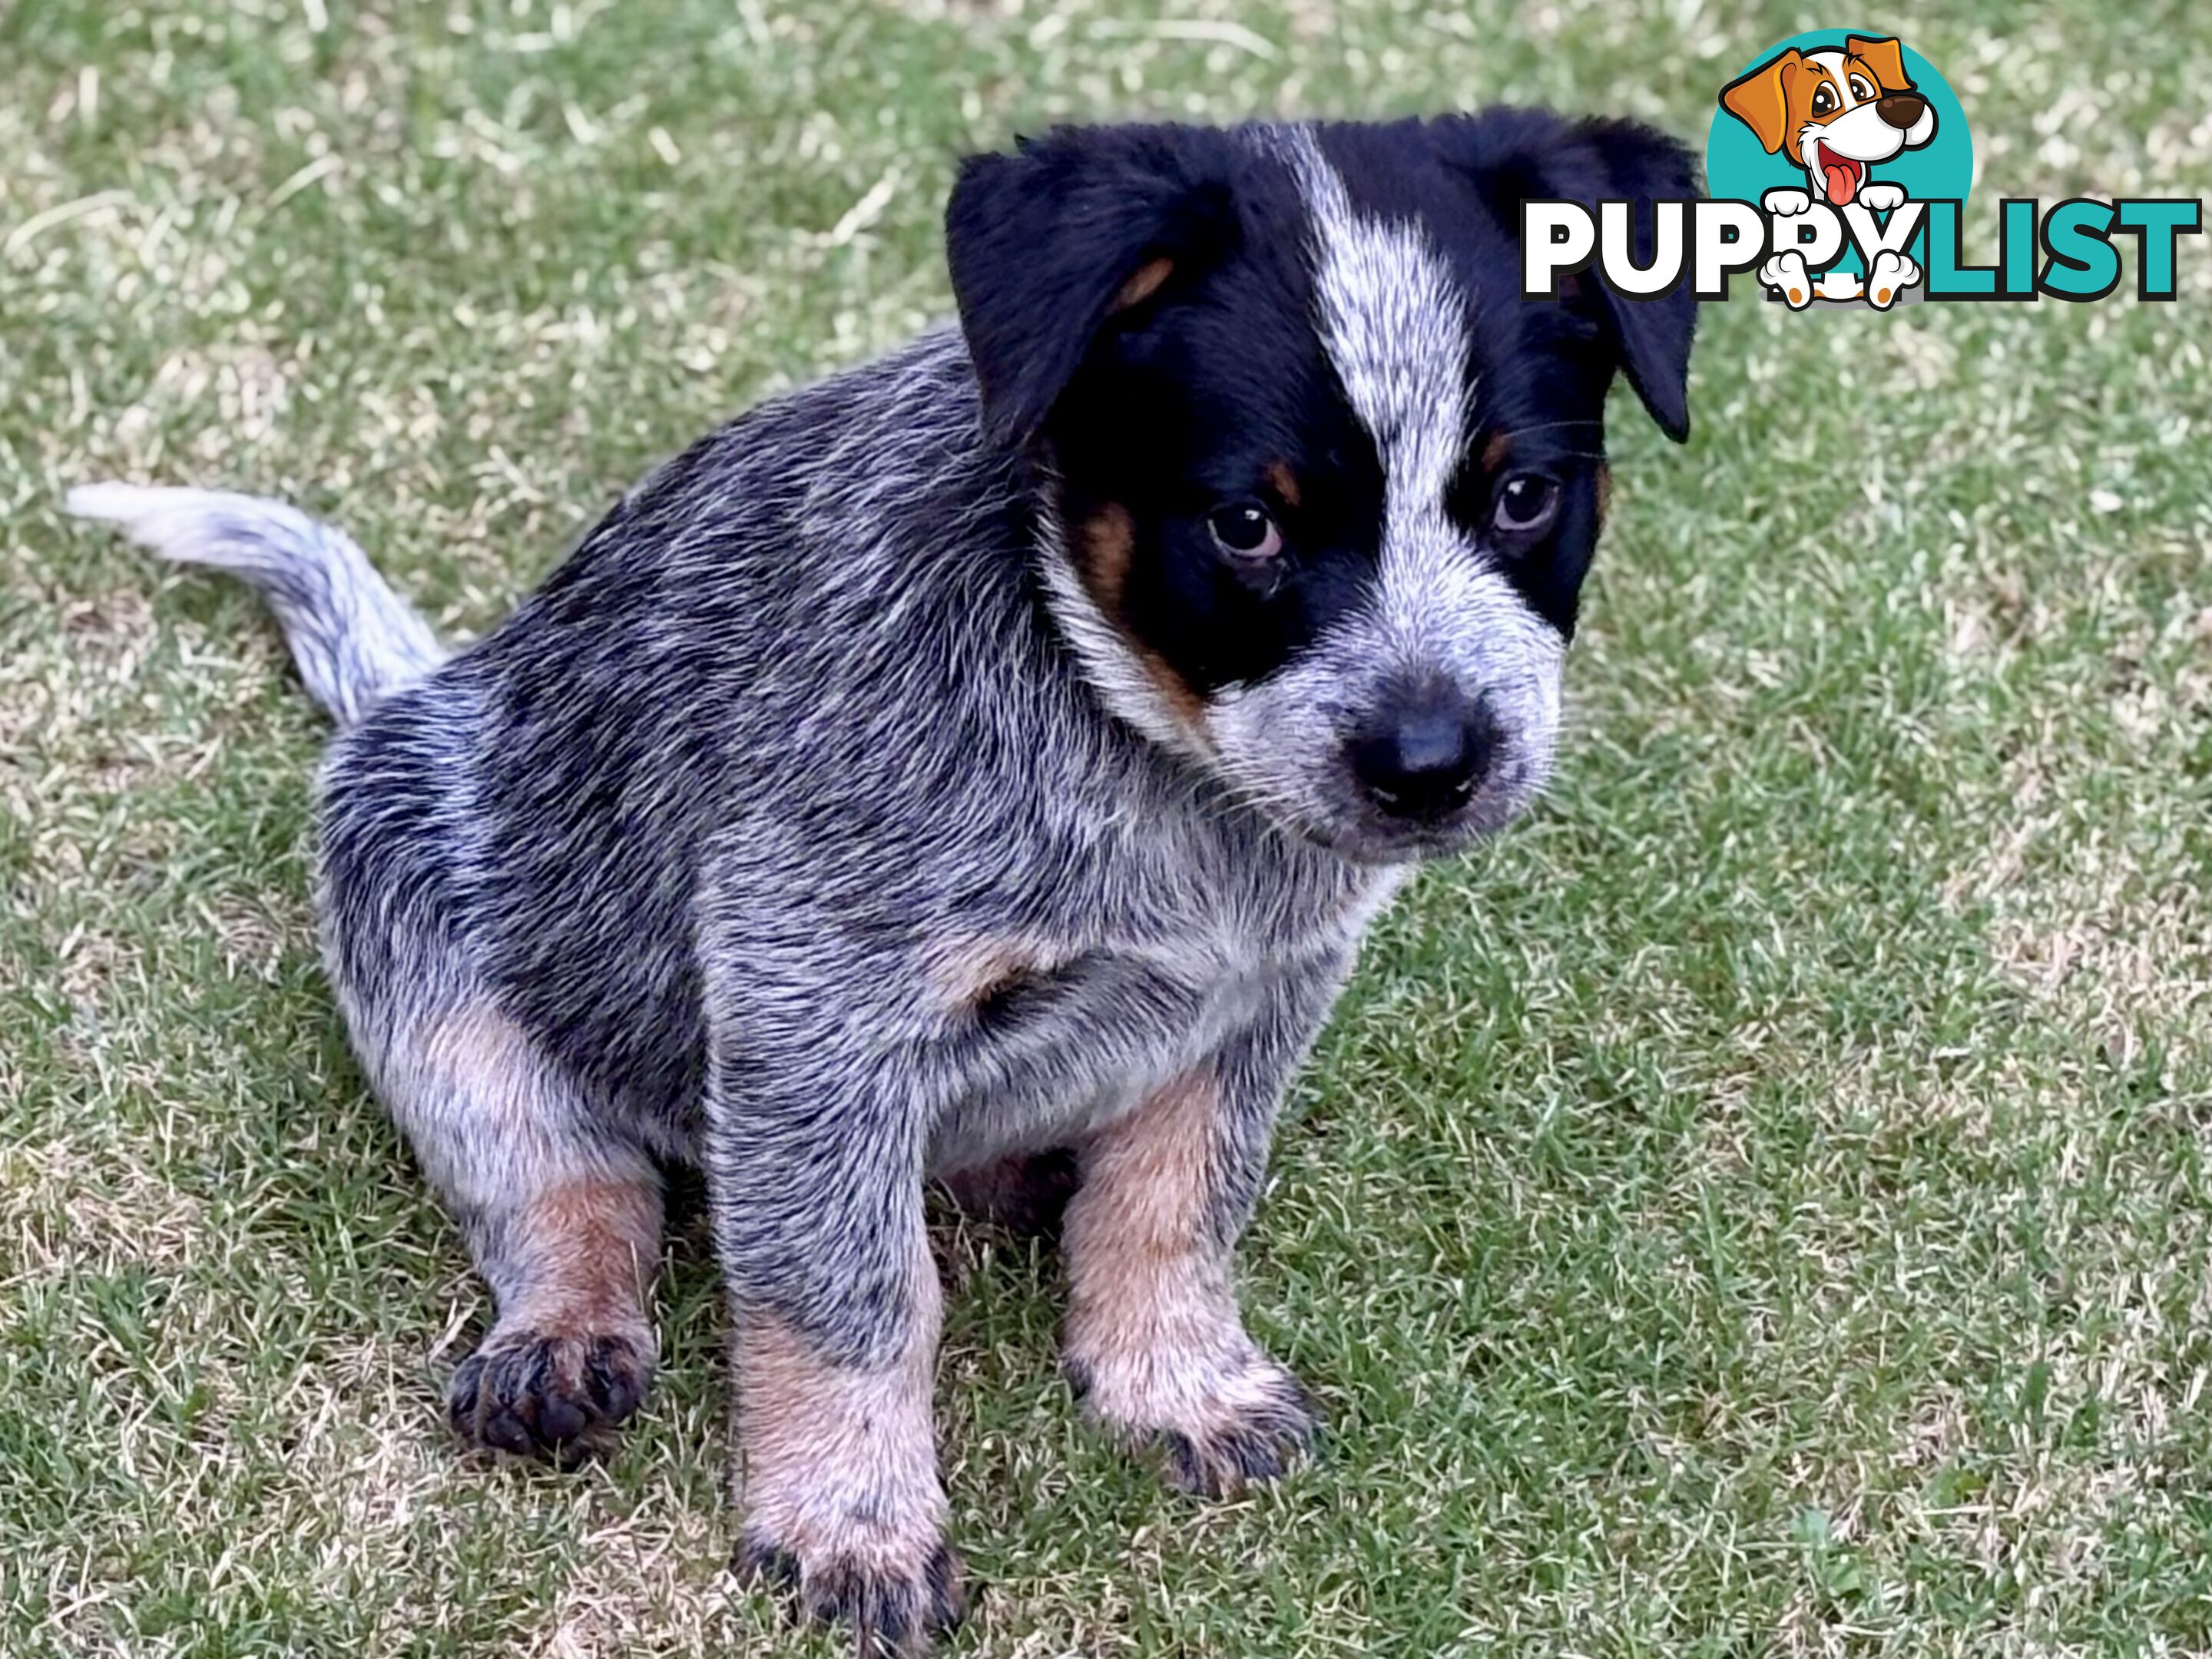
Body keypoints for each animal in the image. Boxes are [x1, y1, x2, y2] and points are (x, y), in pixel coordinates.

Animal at [69, 111, 1690, 1654]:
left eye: (1526, 495)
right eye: (1248, 523)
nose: (1432, 759)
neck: (1152, 768)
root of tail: (421, 687)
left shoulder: (1260, 994)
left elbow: (1177, 1202)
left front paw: (1177, 1380)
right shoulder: (813, 1006)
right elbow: (851, 1295)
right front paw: (850, 1526)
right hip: (411, 880)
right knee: (560, 1176)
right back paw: (562, 1337)